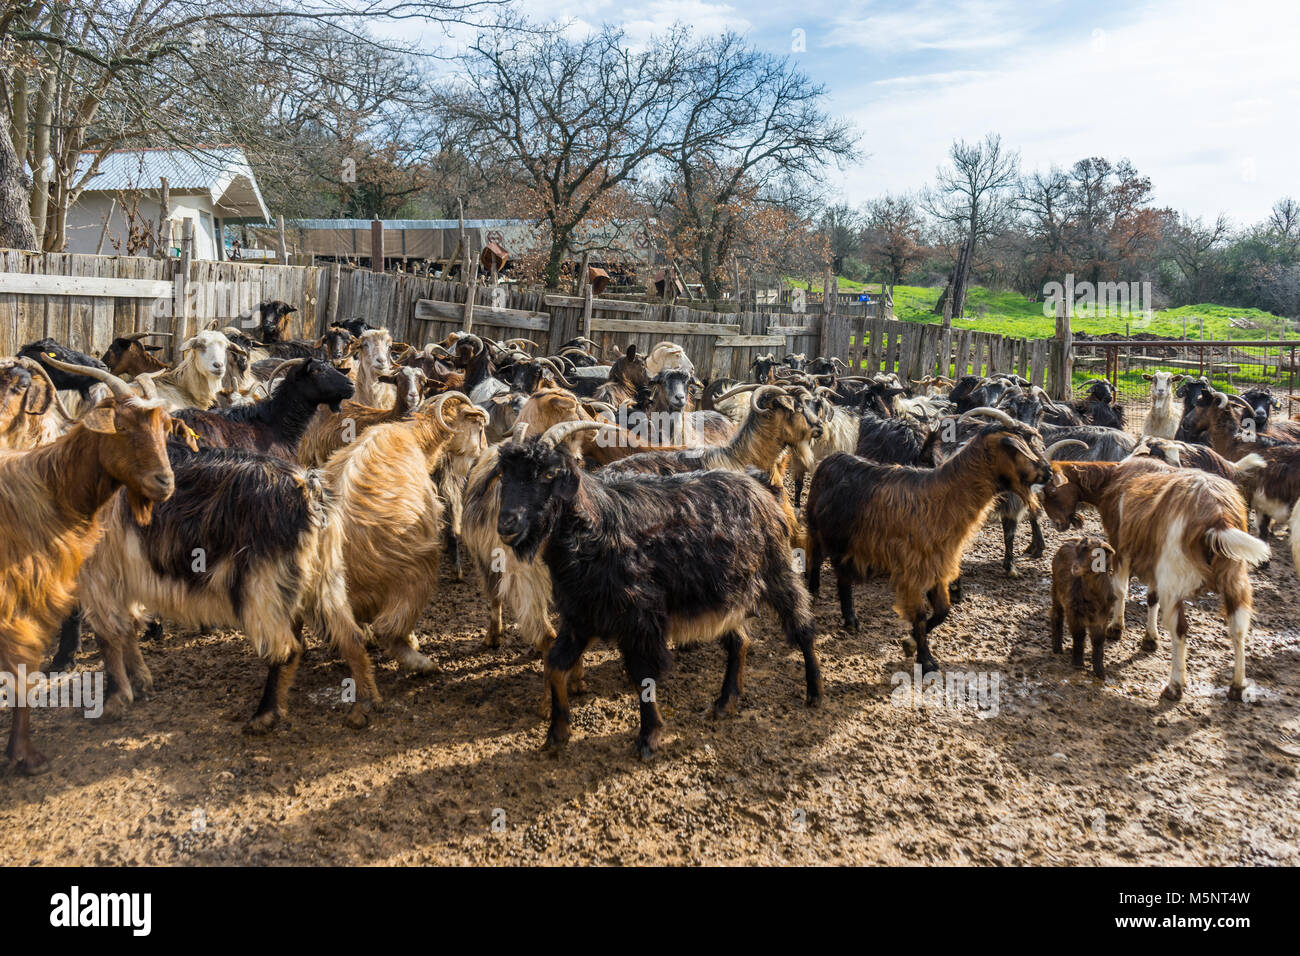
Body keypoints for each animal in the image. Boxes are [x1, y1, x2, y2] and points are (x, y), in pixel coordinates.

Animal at [0, 361, 175, 775]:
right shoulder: (22, 600)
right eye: (122, 427)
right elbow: (24, 670)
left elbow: (122, 624)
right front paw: (27, 756)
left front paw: (137, 681)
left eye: (164, 428)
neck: (50, 488)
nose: (165, 482)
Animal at [496, 421, 821, 759]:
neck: (594, 530)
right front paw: (557, 732)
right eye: (504, 472)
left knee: (801, 622)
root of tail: (759, 486)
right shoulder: (580, 617)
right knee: (740, 641)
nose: (507, 523)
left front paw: (648, 738)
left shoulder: (641, 619)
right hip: (720, 594)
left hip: (775, 570)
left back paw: (814, 691)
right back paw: (724, 702)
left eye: (548, 474)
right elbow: (556, 665)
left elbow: (643, 676)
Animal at [806, 413, 1050, 671]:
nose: (1048, 472)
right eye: (1020, 448)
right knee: (814, 558)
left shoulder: (938, 566)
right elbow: (920, 614)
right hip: (817, 529)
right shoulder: (912, 568)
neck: (941, 497)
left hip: (846, 542)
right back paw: (813, 592)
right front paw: (925, 659)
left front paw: (911, 642)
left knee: (843, 577)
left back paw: (851, 619)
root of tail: (830, 459)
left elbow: (942, 611)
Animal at [1045, 538, 1118, 681]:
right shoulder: (1074, 613)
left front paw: (1100, 672)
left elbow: (1098, 641)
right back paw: (1057, 648)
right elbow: (1079, 636)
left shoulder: (1102, 617)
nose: (1074, 567)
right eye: (1077, 551)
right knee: (1056, 615)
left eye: (1095, 555)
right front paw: (1078, 664)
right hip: (1056, 590)